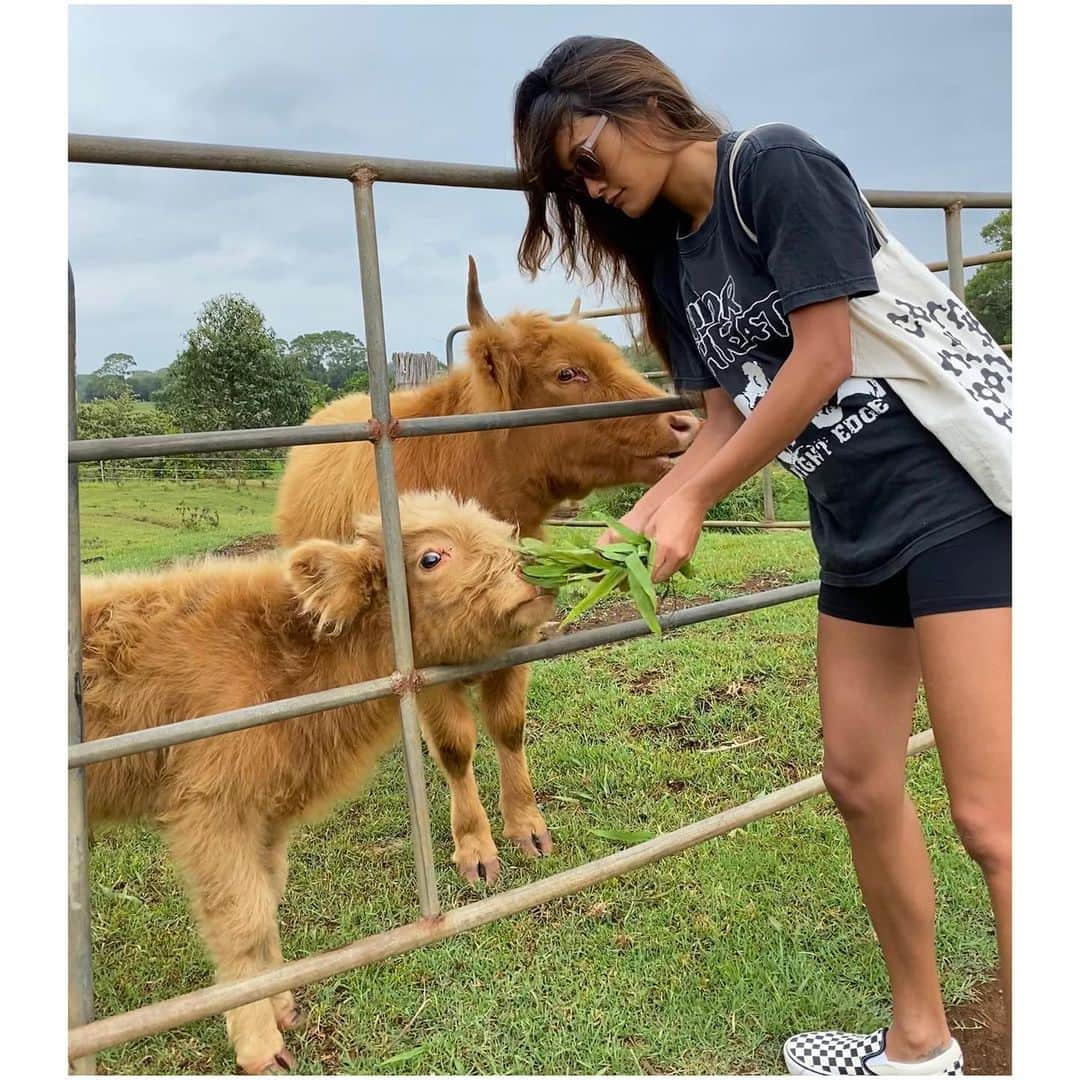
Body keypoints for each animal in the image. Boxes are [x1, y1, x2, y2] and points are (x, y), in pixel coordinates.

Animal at [81, 494, 552, 1075]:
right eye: (431, 557)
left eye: (500, 528)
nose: (535, 568)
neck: (287, 660)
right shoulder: (211, 808)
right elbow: (243, 919)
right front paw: (259, 1044)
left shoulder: (265, 817)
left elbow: (266, 901)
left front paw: (282, 1003)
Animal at [274, 263, 704, 885]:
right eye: (567, 373)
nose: (684, 422)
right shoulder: (424, 660)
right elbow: (456, 746)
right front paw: (474, 846)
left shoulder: (519, 637)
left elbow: (507, 725)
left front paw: (526, 825)